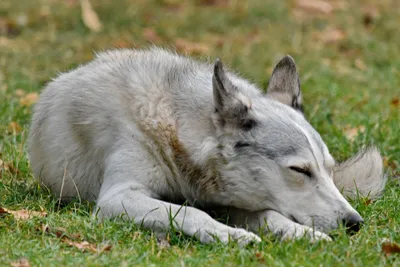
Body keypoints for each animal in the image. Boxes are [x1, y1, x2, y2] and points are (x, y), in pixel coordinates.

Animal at [28, 47, 388, 245]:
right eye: (300, 170)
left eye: (328, 170)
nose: (355, 223)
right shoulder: (118, 197)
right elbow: (190, 213)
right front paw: (231, 236)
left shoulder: (234, 201)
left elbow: (270, 215)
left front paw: (301, 234)